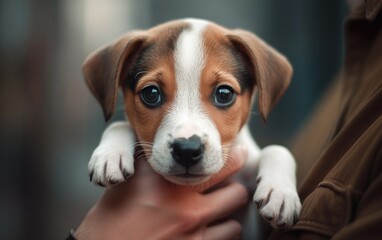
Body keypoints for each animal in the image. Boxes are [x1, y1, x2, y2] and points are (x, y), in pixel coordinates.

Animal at [83, 17, 302, 228]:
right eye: (151, 93)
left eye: (224, 94)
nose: (187, 150)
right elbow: (118, 125)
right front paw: (110, 155)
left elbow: (277, 149)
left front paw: (280, 192)